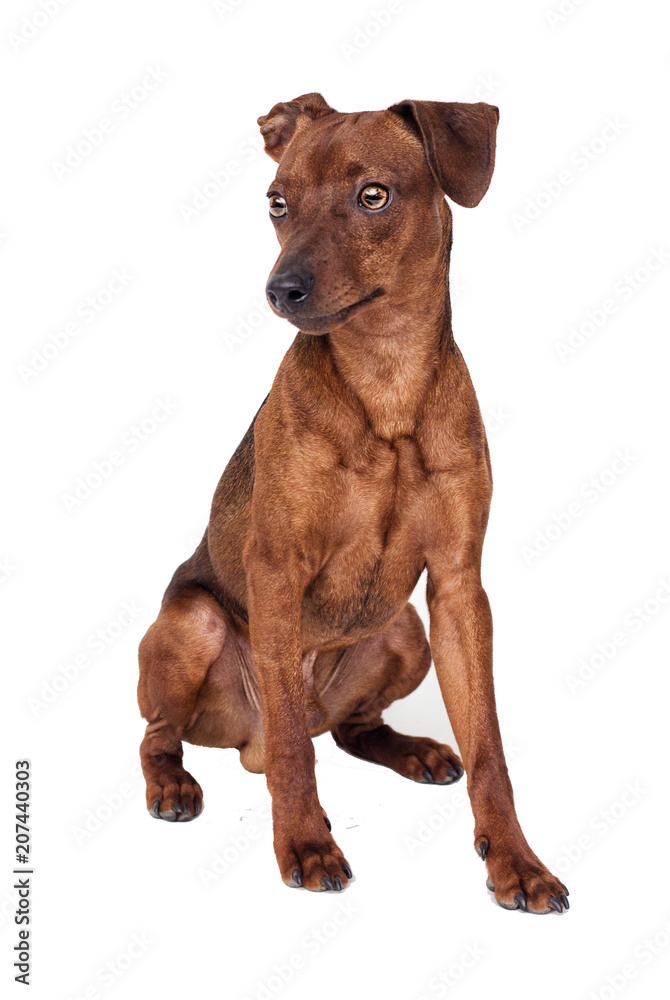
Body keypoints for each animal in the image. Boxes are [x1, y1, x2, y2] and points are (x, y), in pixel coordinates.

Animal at [138, 94, 572, 916]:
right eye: (277, 203)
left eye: (373, 195)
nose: (281, 290)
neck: (387, 380)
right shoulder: (276, 572)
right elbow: (292, 759)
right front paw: (306, 844)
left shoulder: (459, 590)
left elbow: (491, 749)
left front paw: (516, 862)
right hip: (194, 626)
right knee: (171, 734)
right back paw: (175, 783)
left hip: (405, 631)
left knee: (345, 730)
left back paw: (415, 750)